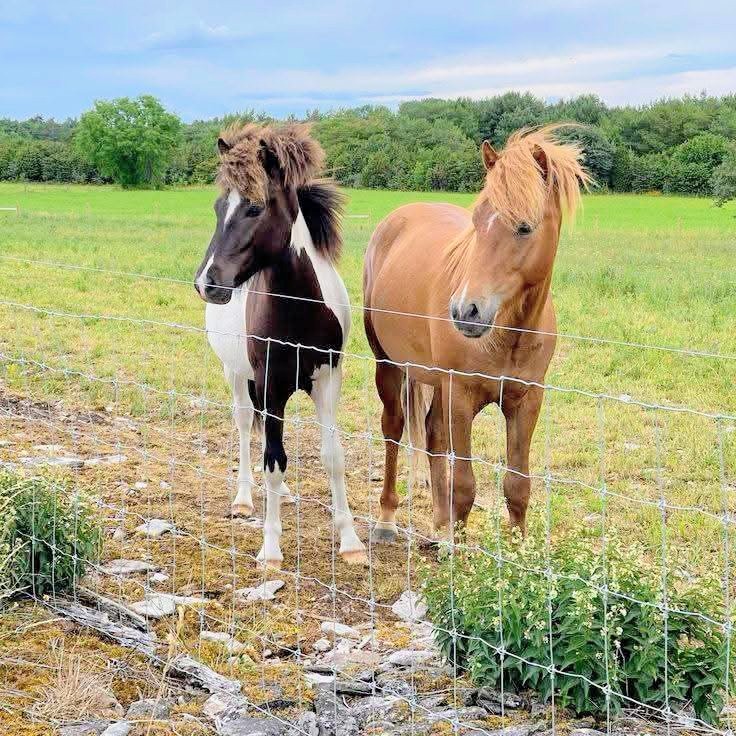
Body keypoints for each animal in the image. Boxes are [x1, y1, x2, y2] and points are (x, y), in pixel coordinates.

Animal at [194, 122, 367, 569]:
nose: (207, 283)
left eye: (255, 208)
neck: (299, 309)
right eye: (218, 207)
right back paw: (243, 498)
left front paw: (351, 541)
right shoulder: (270, 382)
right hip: (237, 375)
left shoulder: (327, 380)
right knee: (244, 424)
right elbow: (273, 459)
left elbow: (332, 456)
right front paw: (271, 548)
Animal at [363, 125, 590, 540]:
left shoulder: (527, 400)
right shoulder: (461, 395)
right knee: (394, 427)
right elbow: (465, 486)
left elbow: (517, 485)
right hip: (388, 363)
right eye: (477, 219)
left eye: (524, 227)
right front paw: (460, 551)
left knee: (433, 436)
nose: (464, 311)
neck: (509, 335)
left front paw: (517, 548)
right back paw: (387, 519)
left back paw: (439, 524)